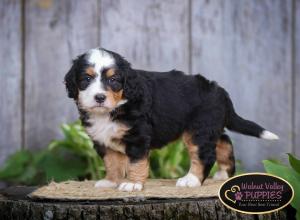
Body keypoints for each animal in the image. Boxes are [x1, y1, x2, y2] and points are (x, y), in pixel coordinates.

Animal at [63, 47, 278, 191]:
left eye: (113, 80)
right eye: (86, 79)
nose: (99, 97)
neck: (115, 107)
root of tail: (220, 91)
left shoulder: (138, 136)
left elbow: (135, 163)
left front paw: (132, 184)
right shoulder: (103, 140)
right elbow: (112, 162)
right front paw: (110, 181)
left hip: (199, 129)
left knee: (205, 155)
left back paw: (191, 180)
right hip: (209, 126)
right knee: (224, 140)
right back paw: (223, 173)